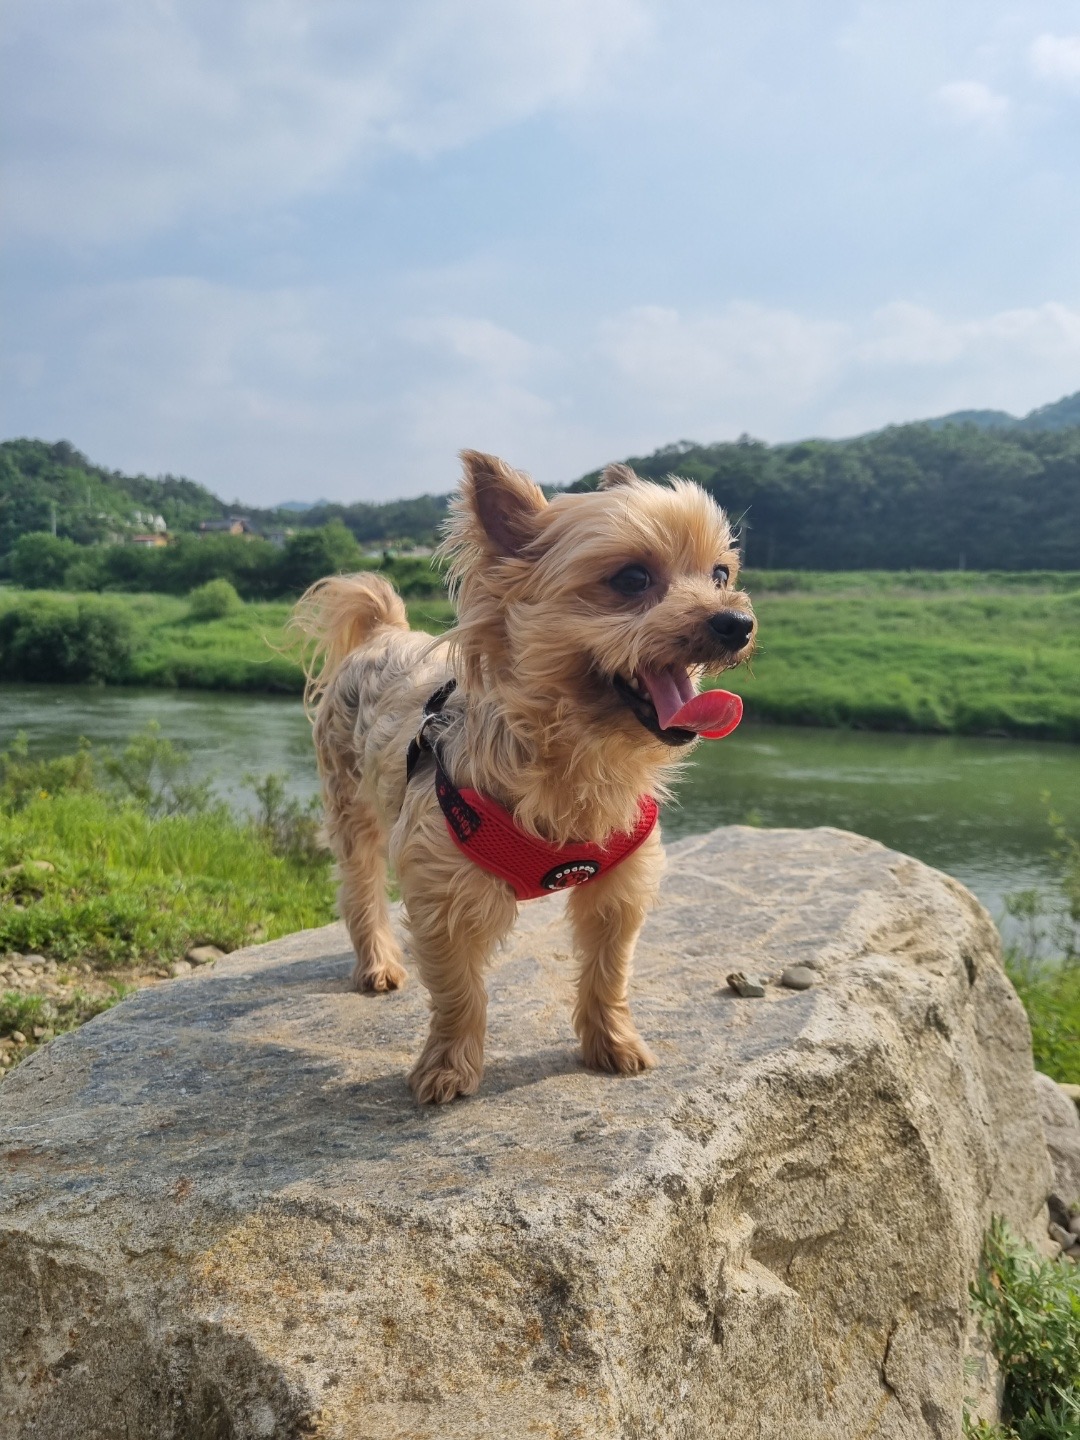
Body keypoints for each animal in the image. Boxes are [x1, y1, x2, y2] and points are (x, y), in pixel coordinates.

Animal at [293, 451, 756, 1103]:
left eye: (719, 572)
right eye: (631, 579)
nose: (736, 622)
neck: (579, 751)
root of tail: (385, 631)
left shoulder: (621, 883)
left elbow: (609, 968)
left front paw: (613, 1044)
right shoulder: (443, 886)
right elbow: (458, 990)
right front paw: (447, 1068)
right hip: (350, 800)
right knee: (359, 882)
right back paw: (378, 963)